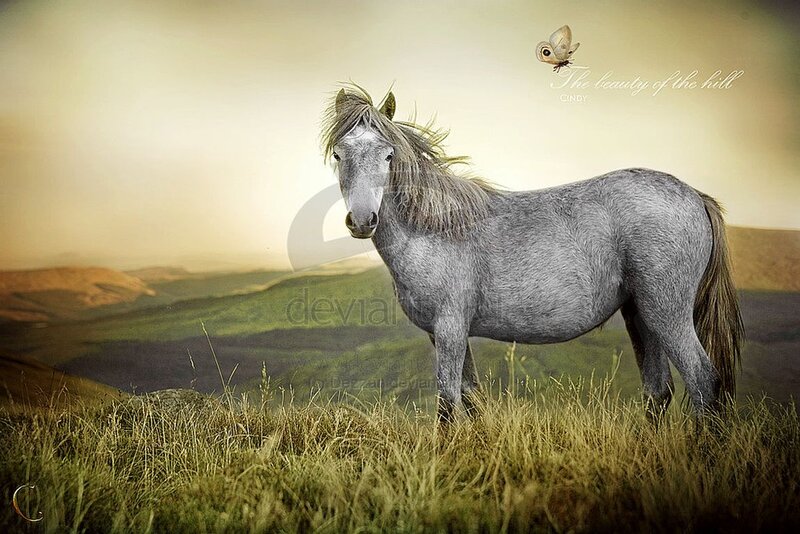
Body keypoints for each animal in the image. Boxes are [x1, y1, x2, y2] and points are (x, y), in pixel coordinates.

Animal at [321, 85, 744, 422]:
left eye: (388, 155)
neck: (436, 227)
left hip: (667, 315)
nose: (363, 220)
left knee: (703, 382)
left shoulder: (450, 328)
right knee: (658, 391)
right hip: (641, 316)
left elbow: (447, 404)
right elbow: (471, 399)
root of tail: (696, 196)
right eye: (339, 154)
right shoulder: (444, 334)